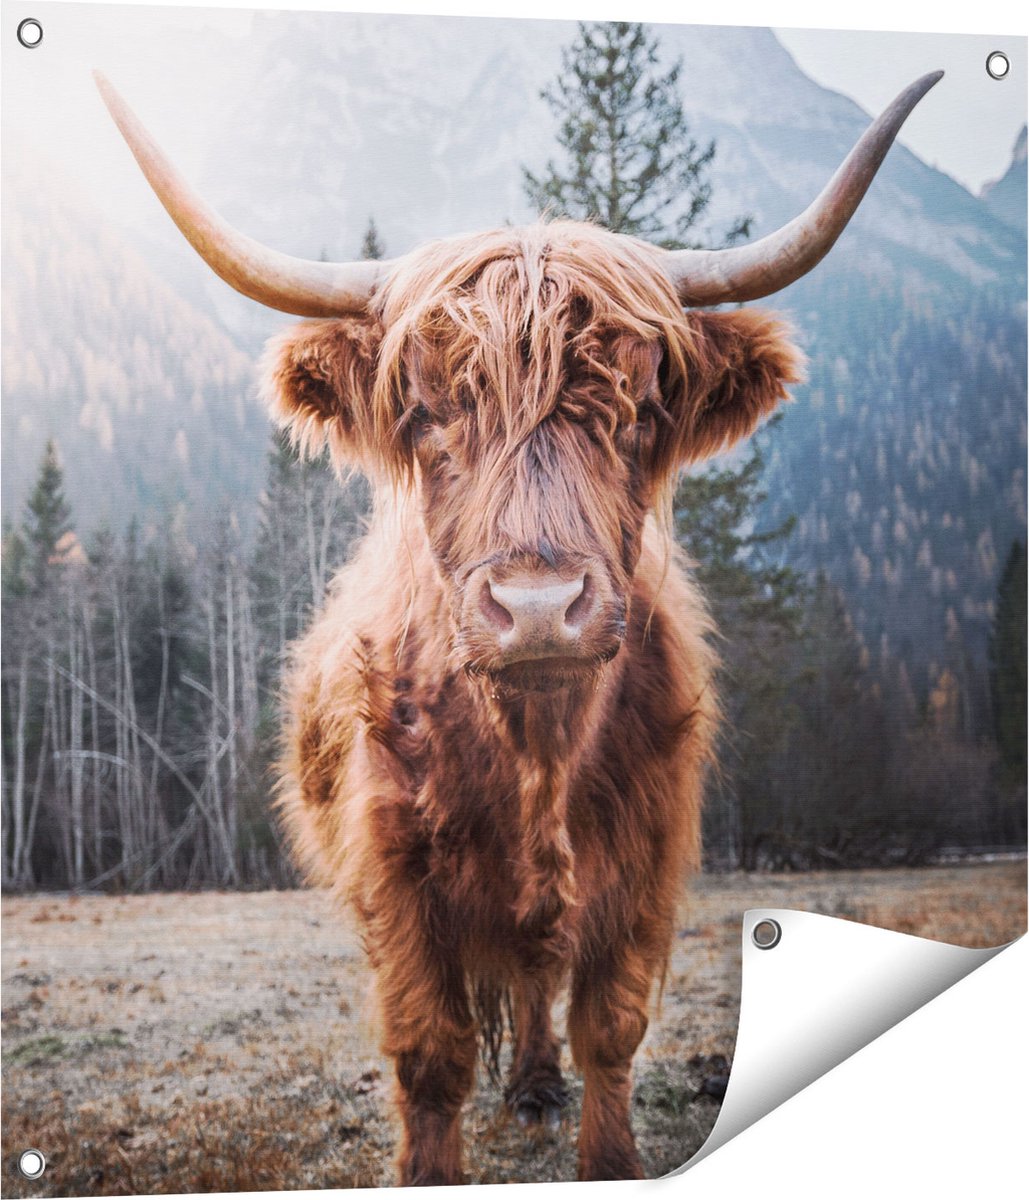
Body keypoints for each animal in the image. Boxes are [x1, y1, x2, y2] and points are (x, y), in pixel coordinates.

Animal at [96, 68, 941, 1184]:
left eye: (639, 408)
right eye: (425, 412)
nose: (538, 608)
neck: (535, 749)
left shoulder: (644, 864)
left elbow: (609, 1031)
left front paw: (606, 1152)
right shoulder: (396, 878)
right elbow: (432, 1055)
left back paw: (539, 1085)